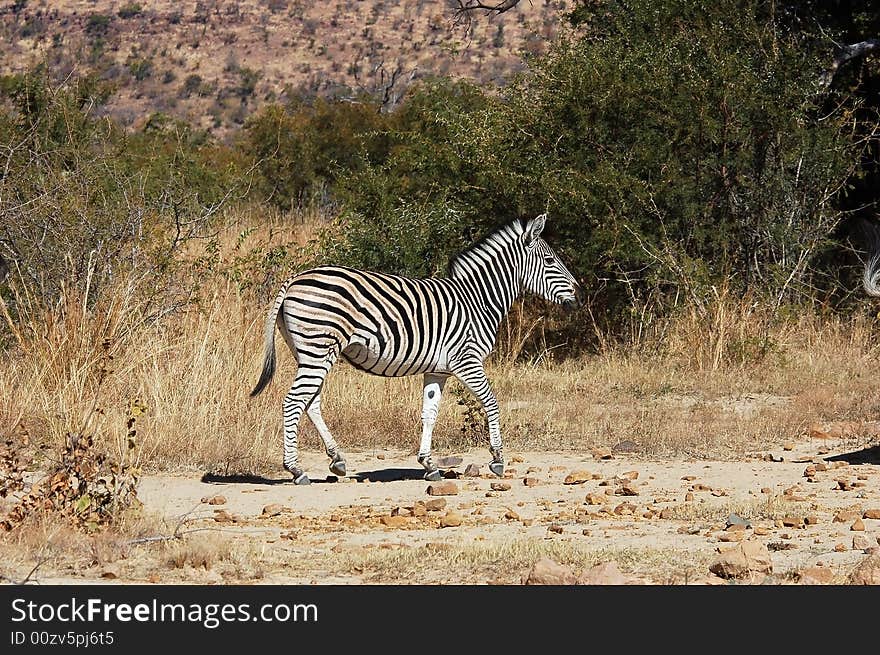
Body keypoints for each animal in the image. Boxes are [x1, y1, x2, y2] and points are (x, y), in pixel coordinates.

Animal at [251, 213, 580, 484]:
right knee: (294, 401)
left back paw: (337, 460)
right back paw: (296, 469)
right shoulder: (467, 360)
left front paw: (429, 465)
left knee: (311, 402)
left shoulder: (439, 370)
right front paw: (497, 459)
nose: (578, 296)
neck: (477, 300)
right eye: (550, 261)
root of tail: (295, 278)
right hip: (318, 347)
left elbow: (429, 414)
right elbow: (491, 402)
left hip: (310, 352)